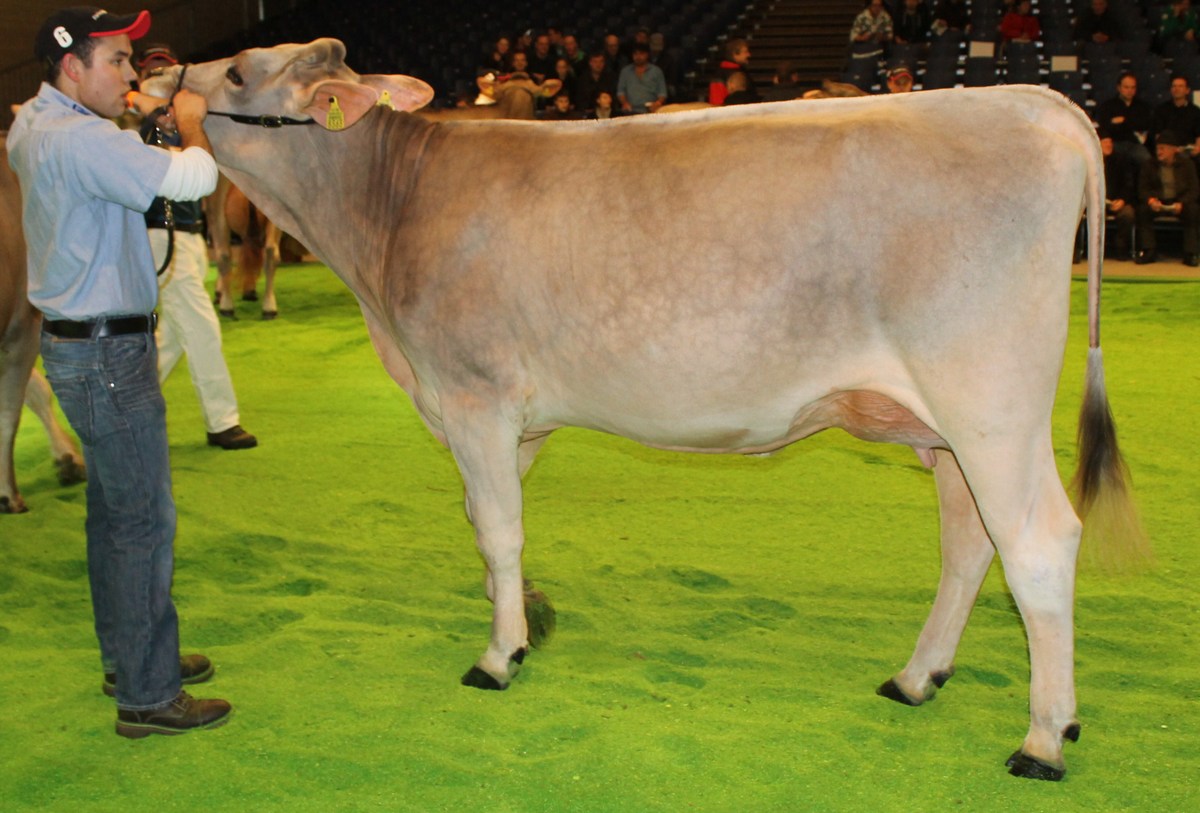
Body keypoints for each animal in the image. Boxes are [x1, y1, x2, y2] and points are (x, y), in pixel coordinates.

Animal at [148, 38, 1148, 780]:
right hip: (942, 428)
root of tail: (1036, 102)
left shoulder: (472, 392)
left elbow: (497, 530)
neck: (386, 217)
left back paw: (1044, 736)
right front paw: (530, 616)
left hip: (989, 402)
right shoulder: (509, 417)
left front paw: (498, 654)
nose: (163, 78)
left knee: (1038, 541)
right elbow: (490, 520)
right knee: (969, 540)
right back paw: (917, 677)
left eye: (236, 74)